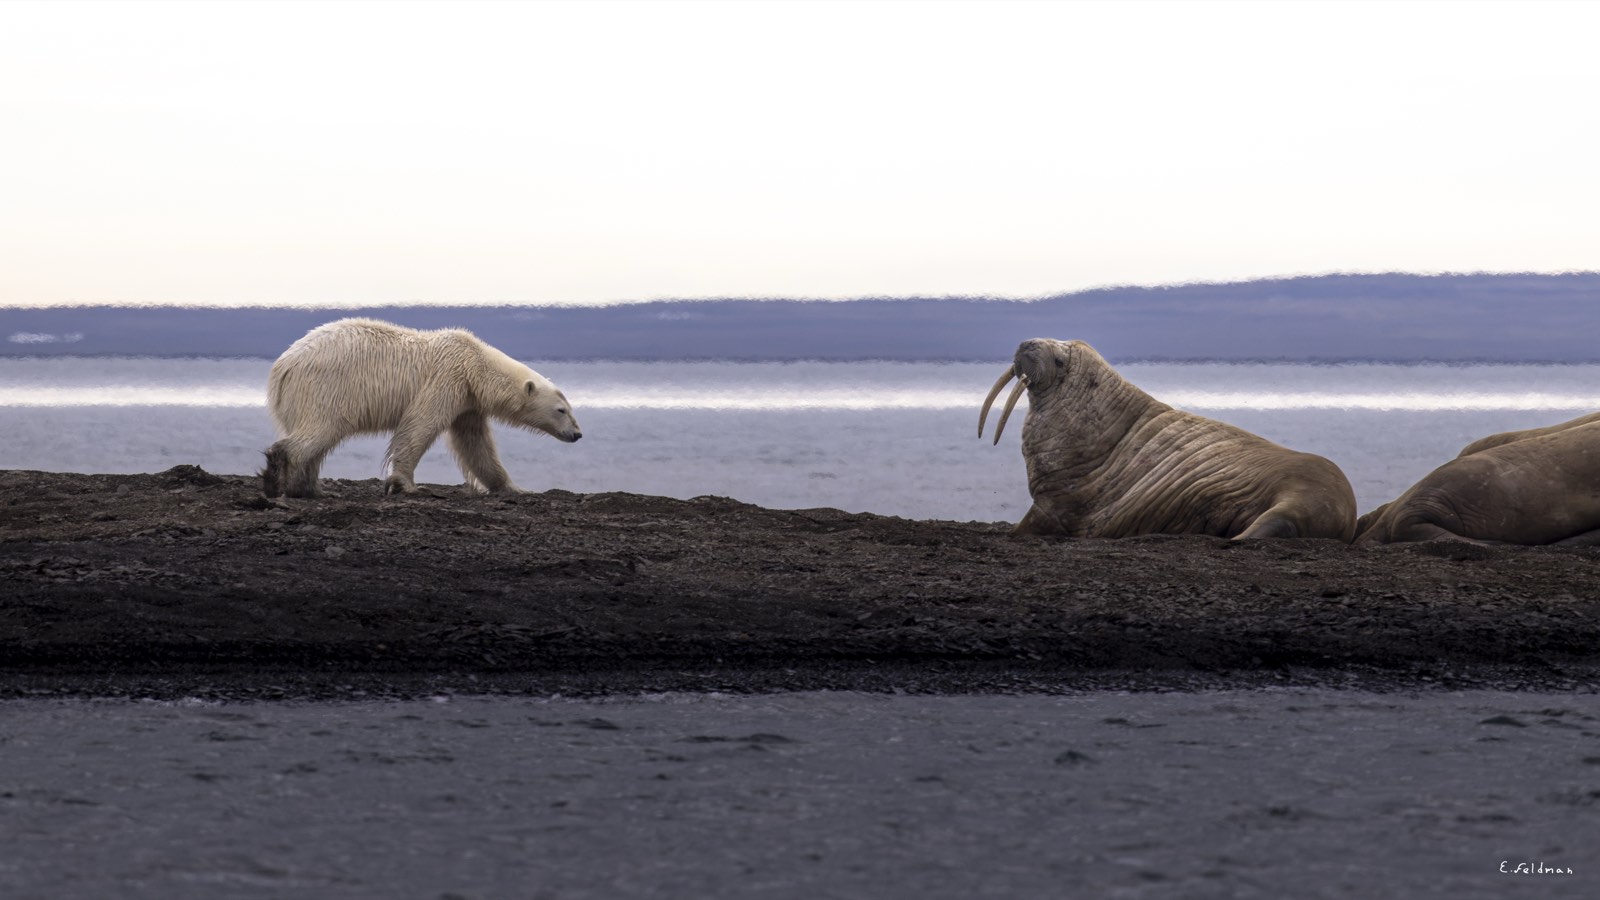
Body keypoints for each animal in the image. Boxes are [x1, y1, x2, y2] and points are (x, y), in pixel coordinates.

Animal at [260, 317, 581, 498]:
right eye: (562, 410)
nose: (577, 434)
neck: (475, 365)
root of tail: (282, 367)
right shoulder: (448, 379)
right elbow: (420, 426)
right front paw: (406, 485)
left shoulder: (468, 402)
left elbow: (476, 445)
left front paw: (513, 487)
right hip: (327, 389)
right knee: (320, 431)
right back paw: (283, 475)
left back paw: (311, 487)